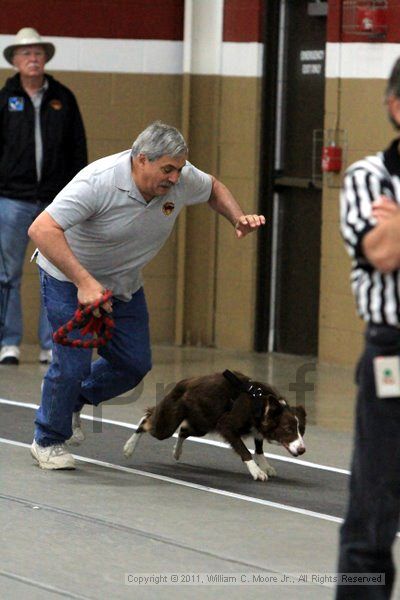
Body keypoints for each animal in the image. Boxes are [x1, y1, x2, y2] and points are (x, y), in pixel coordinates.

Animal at [122, 372, 306, 480]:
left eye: (302, 431)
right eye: (288, 429)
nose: (303, 449)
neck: (260, 404)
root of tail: (182, 383)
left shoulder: (257, 427)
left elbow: (259, 446)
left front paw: (265, 466)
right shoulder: (227, 426)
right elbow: (244, 451)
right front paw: (256, 471)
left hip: (202, 424)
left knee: (183, 430)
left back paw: (177, 452)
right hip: (168, 424)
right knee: (146, 421)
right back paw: (129, 447)